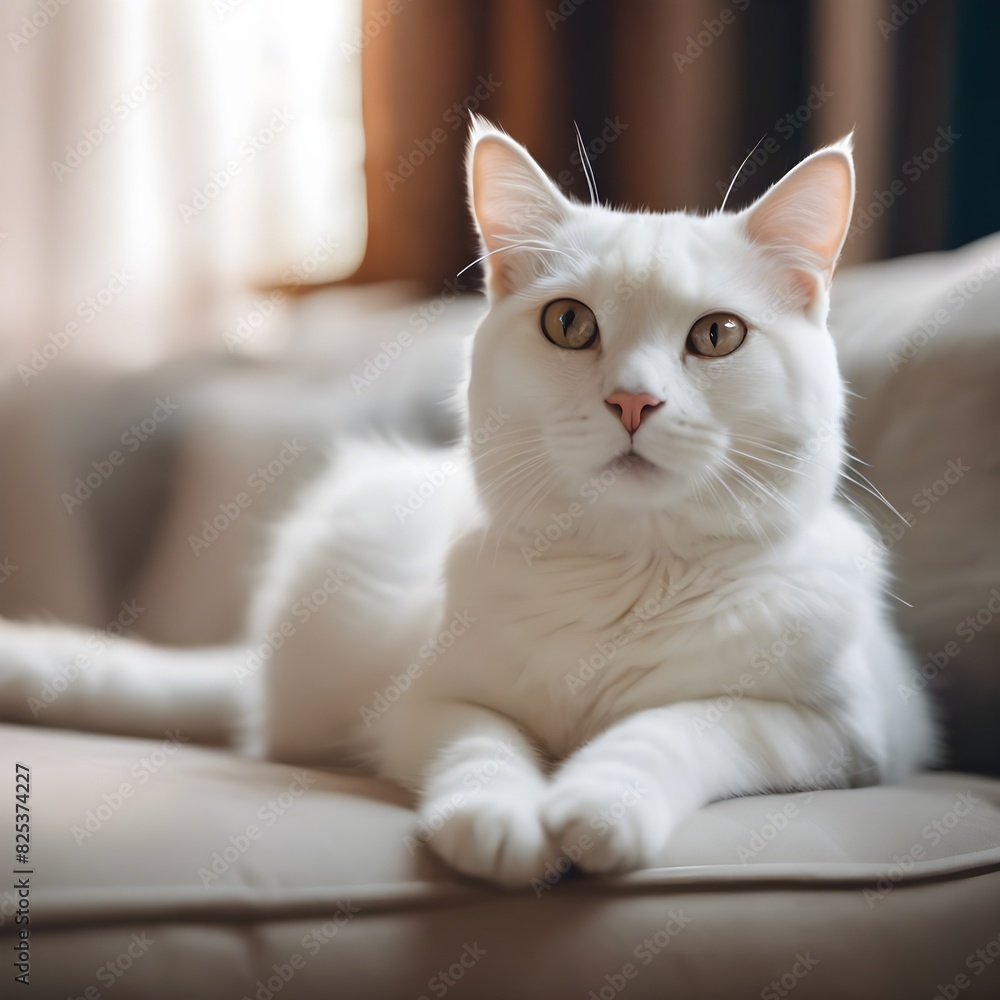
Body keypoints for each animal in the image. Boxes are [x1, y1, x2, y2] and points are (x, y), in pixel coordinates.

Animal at [0, 121, 936, 888]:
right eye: (569, 324)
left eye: (717, 336)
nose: (633, 402)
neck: (626, 575)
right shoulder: (426, 702)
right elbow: (483, 747)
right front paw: (503, 824)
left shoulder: (828, 731)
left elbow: (675, 727)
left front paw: (596, 809)